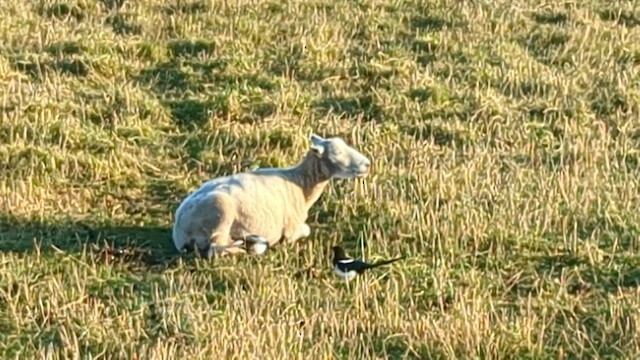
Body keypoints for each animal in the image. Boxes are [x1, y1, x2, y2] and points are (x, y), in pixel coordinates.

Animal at [171, 134, 370, 258]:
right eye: (337, 152)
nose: (367, 164)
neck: (300, 185)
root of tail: (179, 231)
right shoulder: (291, 229)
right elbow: (305, 230)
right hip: (221, 210)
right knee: (215, 249)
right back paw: (247, 249)